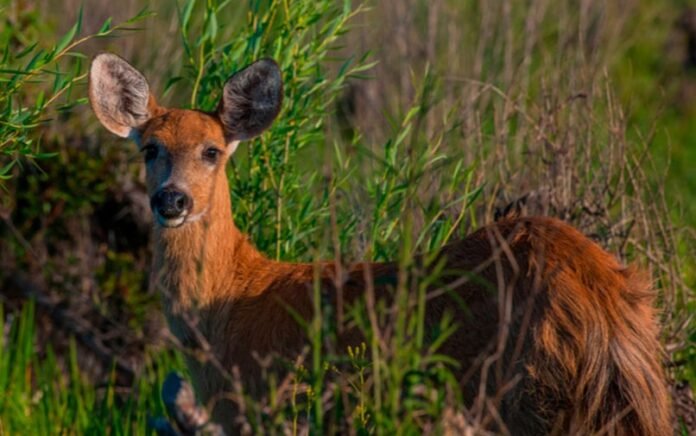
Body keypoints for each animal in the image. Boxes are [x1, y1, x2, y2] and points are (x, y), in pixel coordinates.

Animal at [88, 53, 671, 435]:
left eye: (212, 150)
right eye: (150, 149)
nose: (172, 199)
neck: (228, 304)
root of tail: (602, 307)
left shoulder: (269, 408)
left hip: (519, 397)